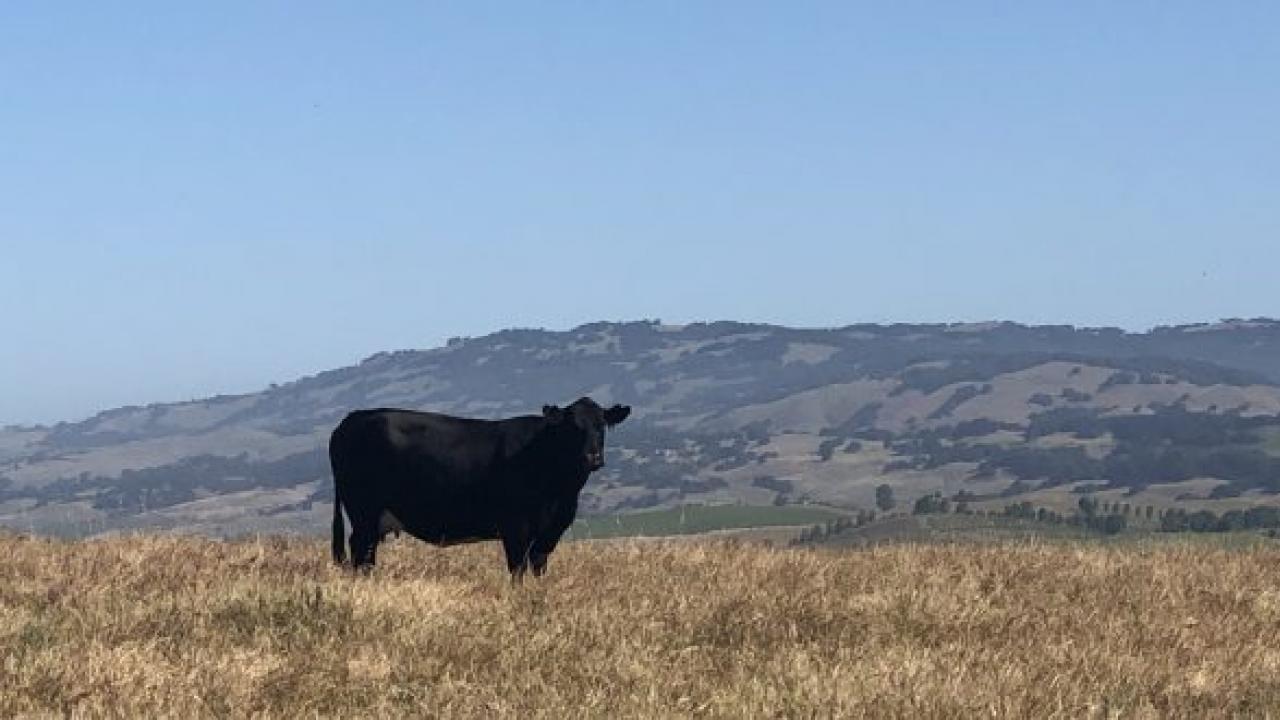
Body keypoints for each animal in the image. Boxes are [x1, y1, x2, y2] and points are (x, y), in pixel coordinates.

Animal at [330, 394, 629, 573]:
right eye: (573, 427)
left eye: (602, 425)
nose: (593, 456)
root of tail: (353, 417)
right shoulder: (515, 526)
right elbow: (517, 569)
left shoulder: (549, 532)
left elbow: (538, 567)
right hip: (364, 511)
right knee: (360, 551)